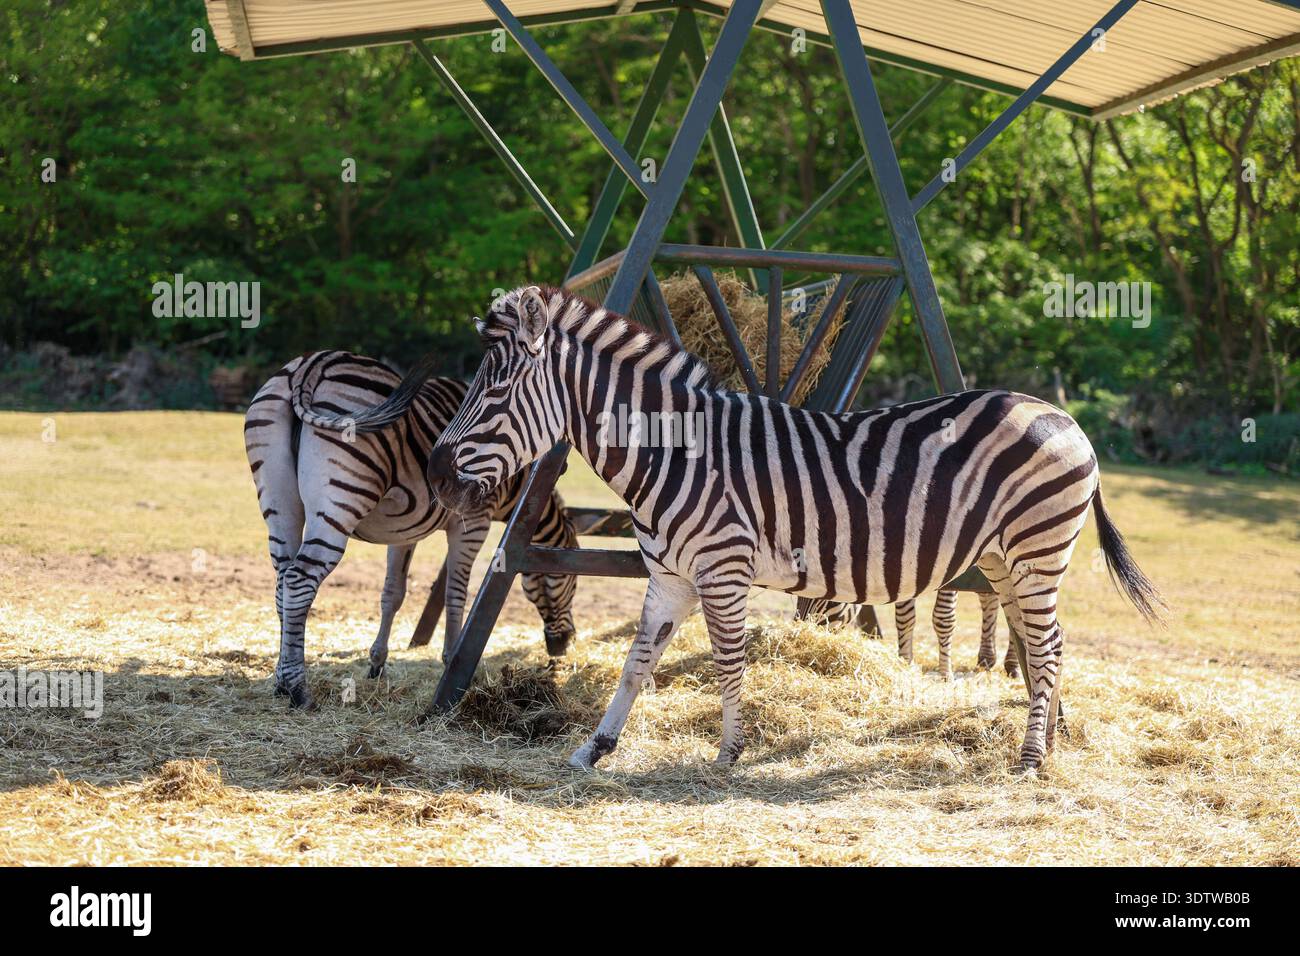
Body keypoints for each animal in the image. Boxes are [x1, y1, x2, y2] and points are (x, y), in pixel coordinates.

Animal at [243, 350, 578, 709]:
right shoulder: (473, 522)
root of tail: (312, 364)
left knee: (282, 582)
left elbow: (393, 593)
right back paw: (298, 690)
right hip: (339, 504)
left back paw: (281, 681)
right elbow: (455, 593)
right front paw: (451, 658)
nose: (565, 645)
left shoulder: (403, 533)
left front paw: (377, 662)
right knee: (299, 579)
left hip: (280, 503)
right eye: (571, 580)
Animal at [803, 592, 1019, 679]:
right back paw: (986, 658)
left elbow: (943, 616)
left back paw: (1012, 665)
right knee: (990, 597)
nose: (804, 631)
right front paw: (904, 664)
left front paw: (945, 674)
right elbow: (904, 617)